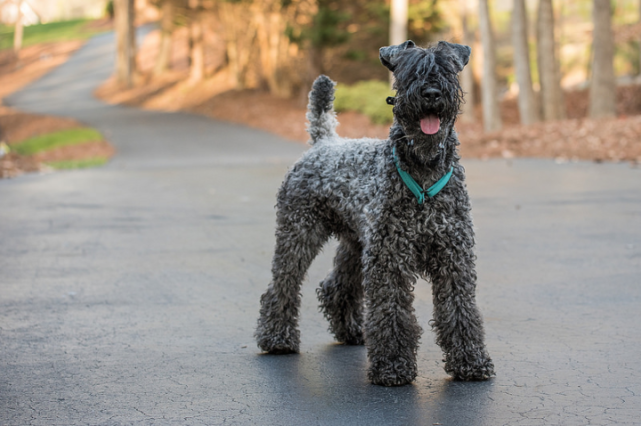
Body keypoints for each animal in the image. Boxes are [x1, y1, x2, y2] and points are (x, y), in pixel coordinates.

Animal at [255, 40, 496, 386]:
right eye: (409, 72)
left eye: (447, 69)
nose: (431, 93)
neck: (424, 174)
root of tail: (323, 142)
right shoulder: (389, 260)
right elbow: (391, 312)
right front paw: (392, 367)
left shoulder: (454, 257)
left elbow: (460, 309)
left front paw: (471, 362)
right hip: (299, 234)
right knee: (282, 285)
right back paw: (277, 338)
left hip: (357, 244)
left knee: (336, 287)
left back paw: (351, 331)